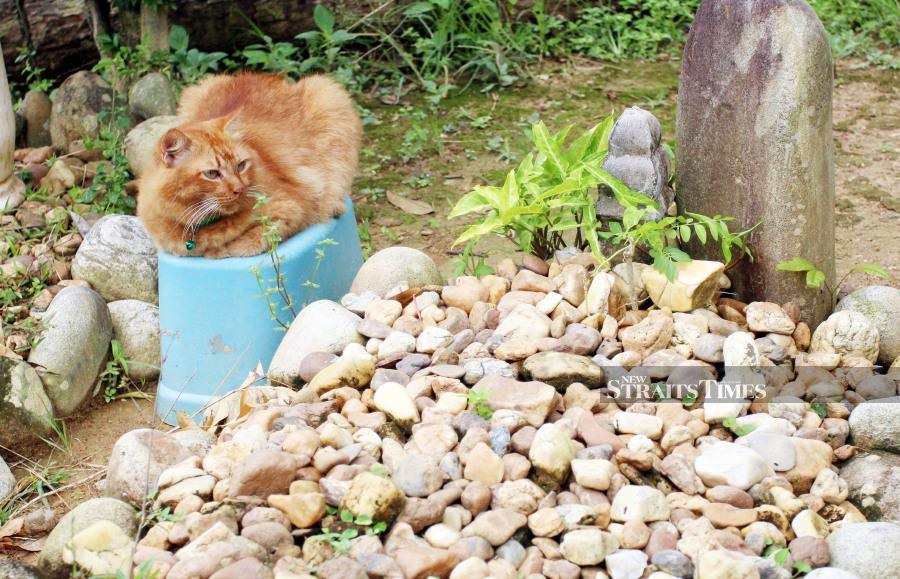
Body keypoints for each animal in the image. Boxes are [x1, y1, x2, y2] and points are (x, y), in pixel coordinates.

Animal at [135, 72, 360, 258]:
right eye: (212, 173)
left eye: (241, 165)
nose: (239, 189)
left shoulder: (293, 208)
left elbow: (248, 242)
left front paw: (220, 249)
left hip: (327, 93)